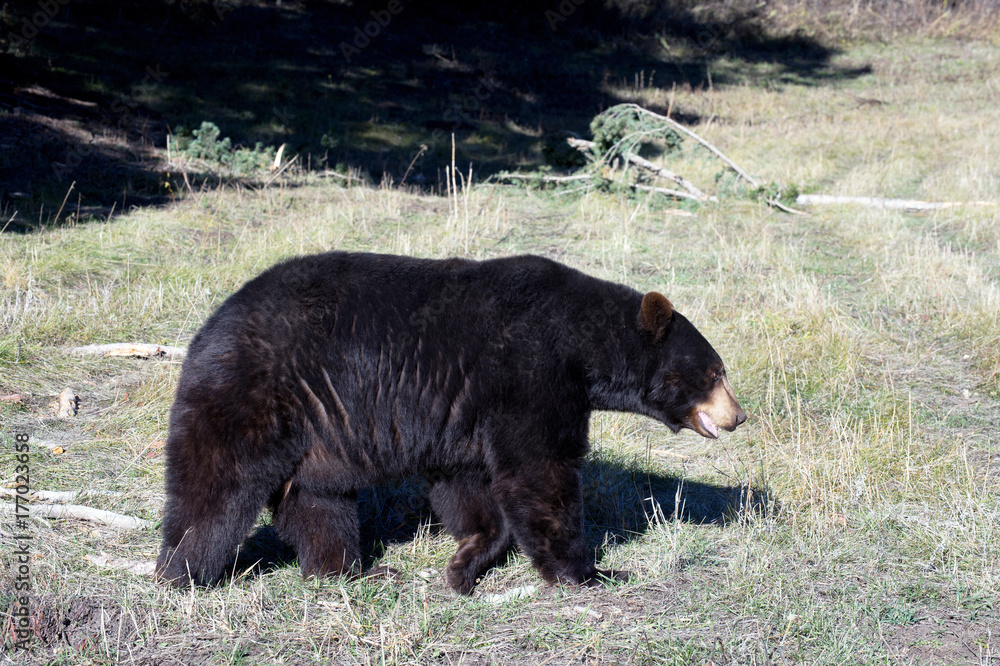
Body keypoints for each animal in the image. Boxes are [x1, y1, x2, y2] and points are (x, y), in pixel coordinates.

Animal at [155, 251, 746, 593]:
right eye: (715, 370)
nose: (739, 415)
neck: (582, 343)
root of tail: (210, 326)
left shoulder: (463, 411)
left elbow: (470, 484)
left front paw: (464, 563)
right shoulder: (529, 373)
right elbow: (539, 472)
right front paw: (589, 571)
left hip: (319, 430)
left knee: (317, 499)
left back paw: (352, 569)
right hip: (252, 395)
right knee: (215, 491)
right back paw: (180, 572)